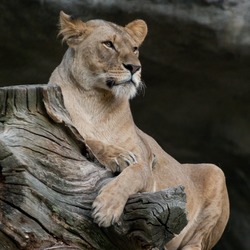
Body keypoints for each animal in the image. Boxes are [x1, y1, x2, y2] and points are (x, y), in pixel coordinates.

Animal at [47, 11, 229, 250]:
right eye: (109, 44)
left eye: (135, 49)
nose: (135, 68)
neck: (96, 100)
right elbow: (88, 139)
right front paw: (118, 156)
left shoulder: (147, 164)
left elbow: (134, 172)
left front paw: (106, 208)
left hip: (216, 172)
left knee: (197, 241)